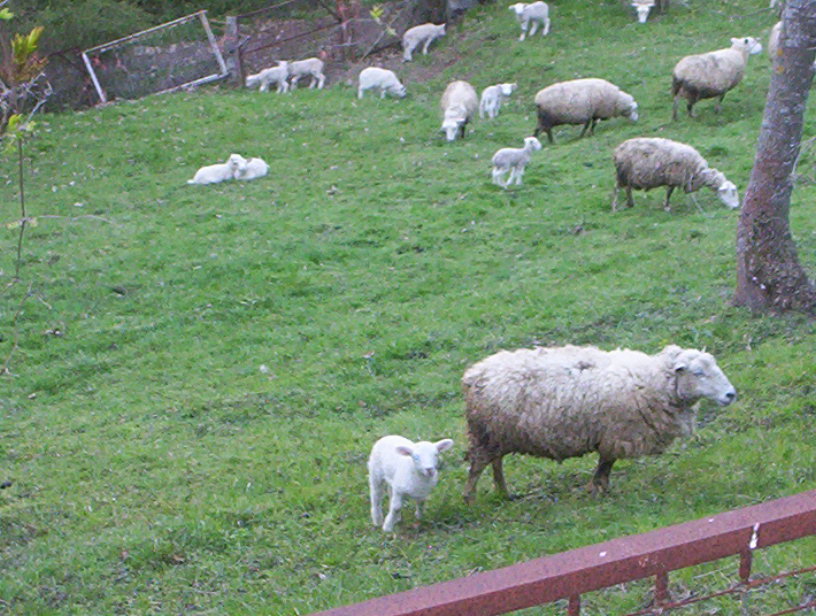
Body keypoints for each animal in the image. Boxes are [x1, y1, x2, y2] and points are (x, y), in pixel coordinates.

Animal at [462, 344, 736, 502]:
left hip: (497, 434)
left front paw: (600, 487)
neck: (652, 380)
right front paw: (599, 489)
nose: (730, 394)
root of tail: (474, 374)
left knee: (496, 463)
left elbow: (606, 462)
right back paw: (471, 499)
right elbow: (606, 462)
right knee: (476, 467)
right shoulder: (616, 434)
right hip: (484, 434)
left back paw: (504, 493)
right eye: (698, 373)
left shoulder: (612, 435)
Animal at [612, 137, 740, 212]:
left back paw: (630, 204)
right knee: (617, 190)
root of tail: (618, 150)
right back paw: (615, 207)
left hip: (627, 176)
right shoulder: (673, 177)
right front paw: (667, 207)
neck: (697, 172)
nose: (736, 207)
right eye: (730, 192)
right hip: (622, 174)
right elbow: (669, 193)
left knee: (627, 189)